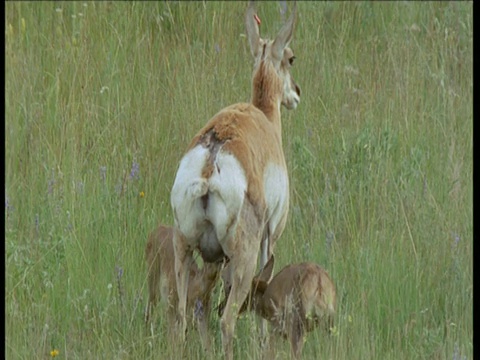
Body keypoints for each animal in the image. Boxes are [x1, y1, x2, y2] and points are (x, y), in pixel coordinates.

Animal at [171, 1, 300, 358]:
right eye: (291, 57)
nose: (296, 93)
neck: (263, 118)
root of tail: (211, 160)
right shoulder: (271, 237)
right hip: (242, 254)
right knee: (226, 320)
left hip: (187, 251)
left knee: (185, 315)